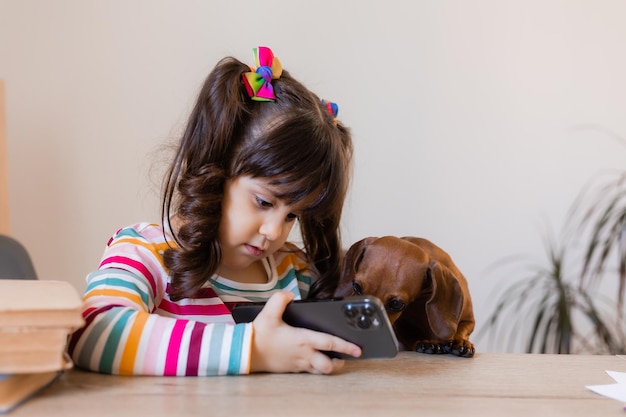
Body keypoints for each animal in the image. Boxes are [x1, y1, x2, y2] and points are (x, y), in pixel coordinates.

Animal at [336, 236, 472, 356]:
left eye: (396, 303)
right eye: (356, 287)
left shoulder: (469, 320)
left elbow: (463, 328)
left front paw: (461, 342)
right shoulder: (400, 325)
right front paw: (428, 342)